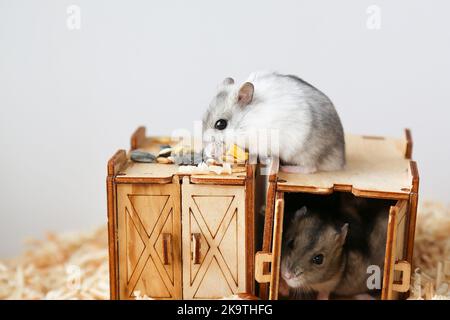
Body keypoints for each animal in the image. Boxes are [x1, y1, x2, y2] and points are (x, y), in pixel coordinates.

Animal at [202, 71, 346, 174]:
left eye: (221, 124)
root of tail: (341, 159)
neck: (246, 121)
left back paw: (286, 168)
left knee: (311, 167)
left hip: (304, 153)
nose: (208, 152)